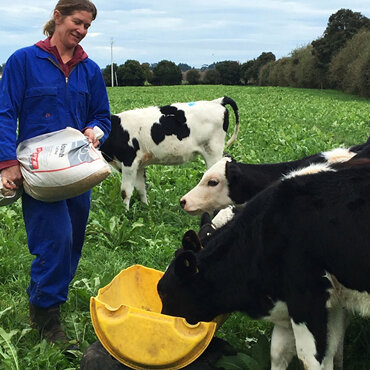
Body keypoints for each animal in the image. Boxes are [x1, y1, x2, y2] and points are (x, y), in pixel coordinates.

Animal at [100, 97, 240, 208]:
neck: (117, 130)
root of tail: (217, 102)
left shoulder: (129, 162)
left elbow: (125, 192)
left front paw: (125, 213)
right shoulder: (139, 165)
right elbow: (141, 188)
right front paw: (145, 207)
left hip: (213, 152)